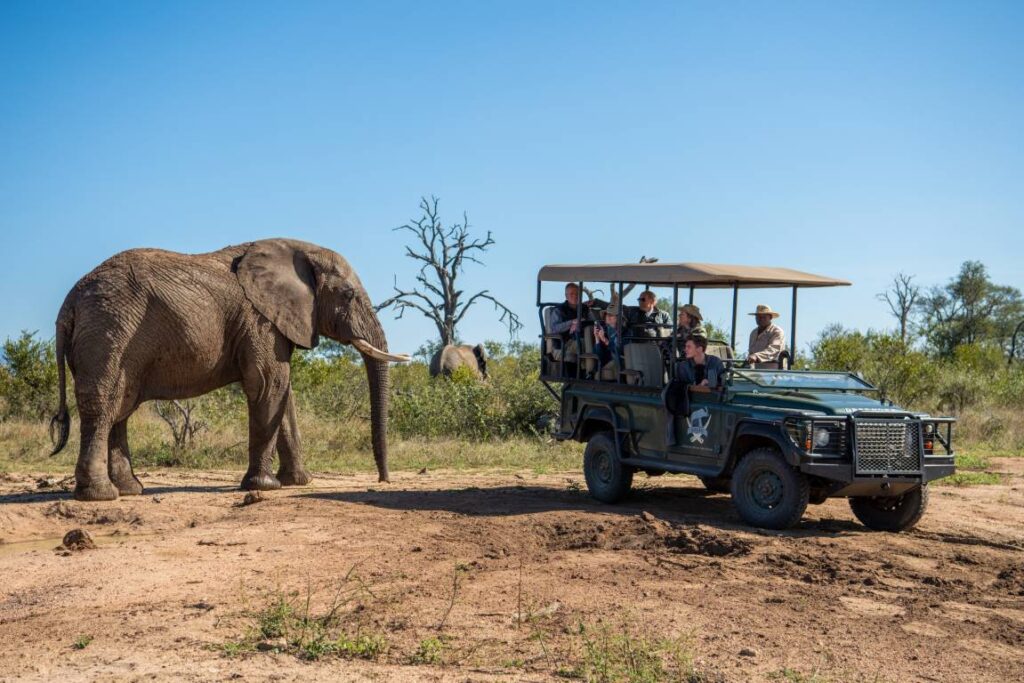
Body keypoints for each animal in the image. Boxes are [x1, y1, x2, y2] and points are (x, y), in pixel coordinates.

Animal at [48, 240, 407, 501]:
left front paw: (299, 482)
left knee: (120, 407)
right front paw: (265, 486)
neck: (298, 250)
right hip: (108, 332)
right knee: (104, 407)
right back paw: (101, 496)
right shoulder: (259, 321)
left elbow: (284, 394)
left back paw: (130, 490)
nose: (384, 480)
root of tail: (69, 303)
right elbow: (269, 385)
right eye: (348, 295)